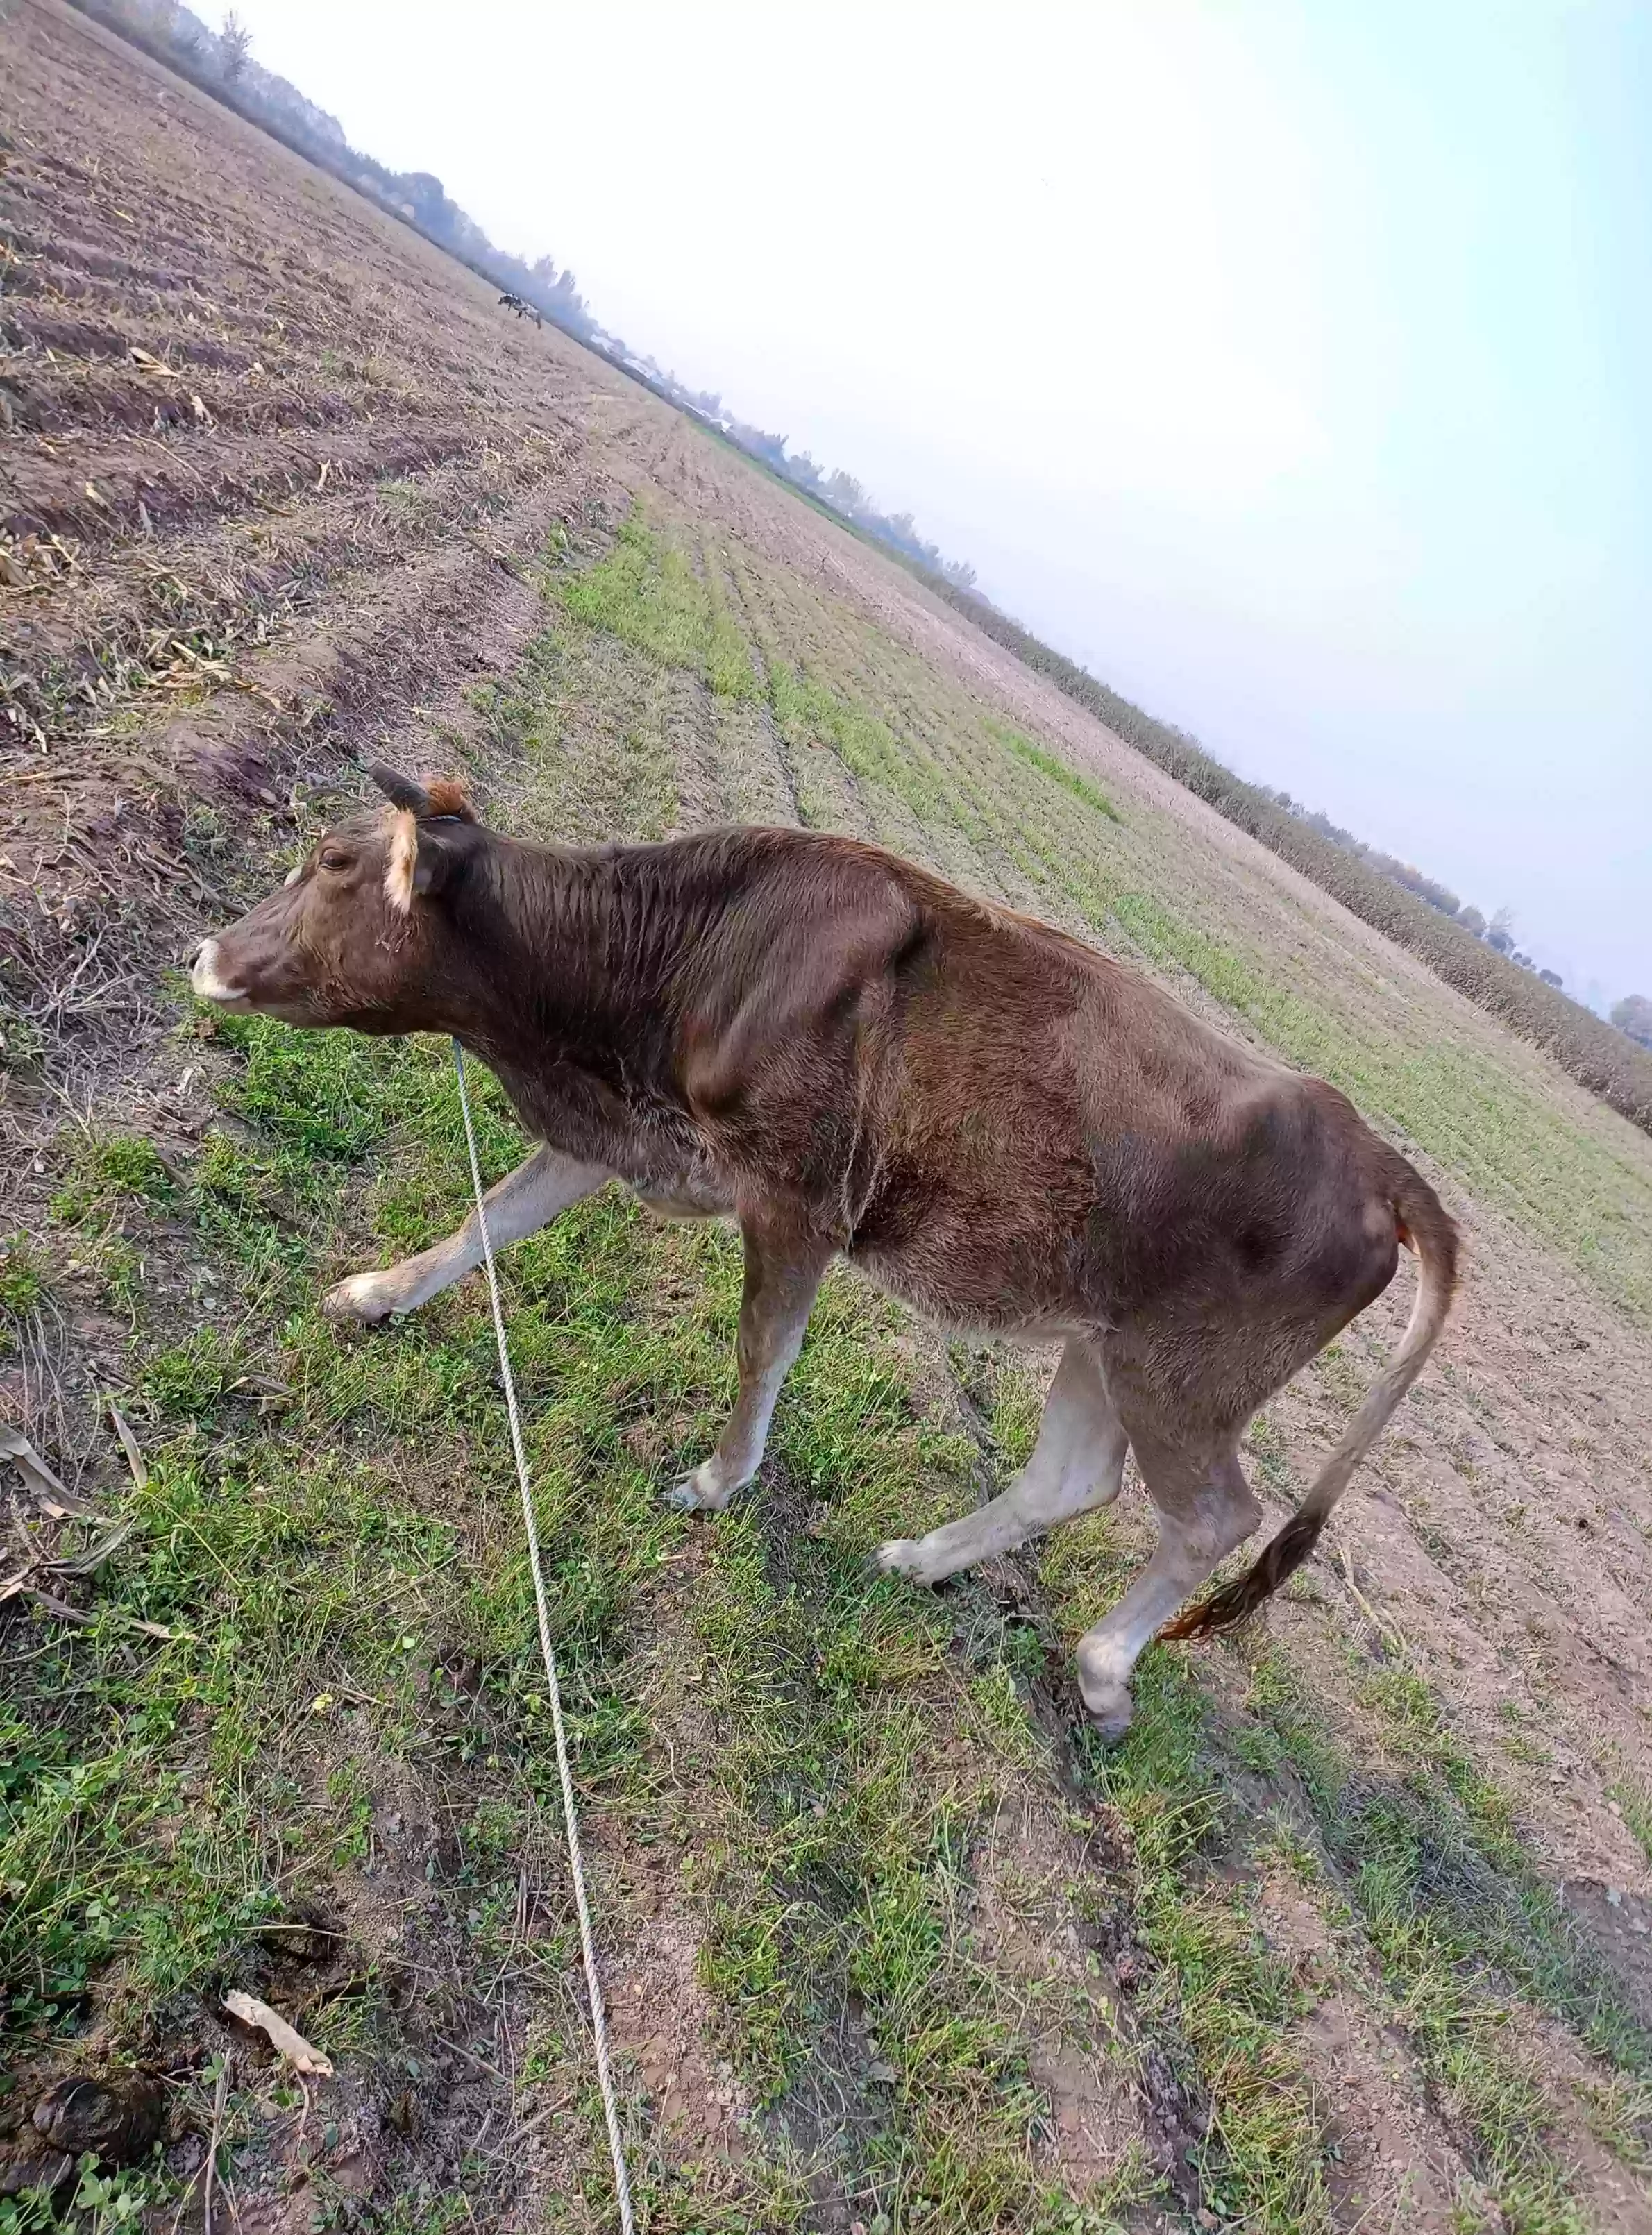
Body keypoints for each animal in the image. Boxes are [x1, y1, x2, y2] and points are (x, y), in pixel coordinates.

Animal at [191, 764, 1457, 1735]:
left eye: (331, 862)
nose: (205, 950)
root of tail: (1374, 1154)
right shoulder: (625, 1127)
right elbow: (487, 1221)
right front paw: (374, 1294)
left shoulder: (800, 1199)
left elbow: (762, 1350)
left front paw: (716, 1482)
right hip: (1107, 1343)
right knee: (1072, 1478)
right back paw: (920, 1562)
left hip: (1188, 1382)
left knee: (1213, 1520)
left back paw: (1102, 1671)